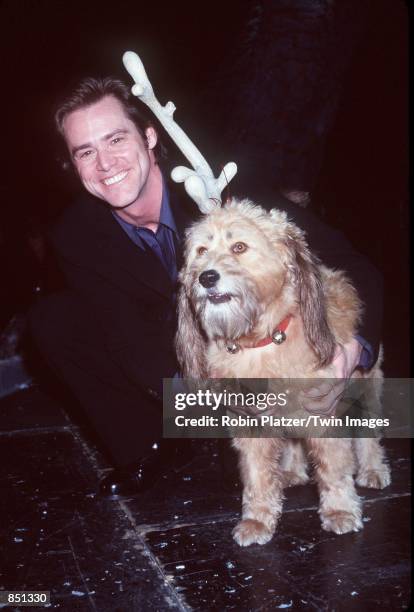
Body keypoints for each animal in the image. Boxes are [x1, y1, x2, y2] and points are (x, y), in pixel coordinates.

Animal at [176, 200, 390, 544]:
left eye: (239, 247)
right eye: (201, 250)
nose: (206, 277)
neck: (260, 340)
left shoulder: (324, 414)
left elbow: (334, 468)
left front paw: (340, 511)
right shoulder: (249, 424)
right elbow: (257, 476)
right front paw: (257, 520)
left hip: (366, 388)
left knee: (369, 435)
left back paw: (373, 469)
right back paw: (291, 470)